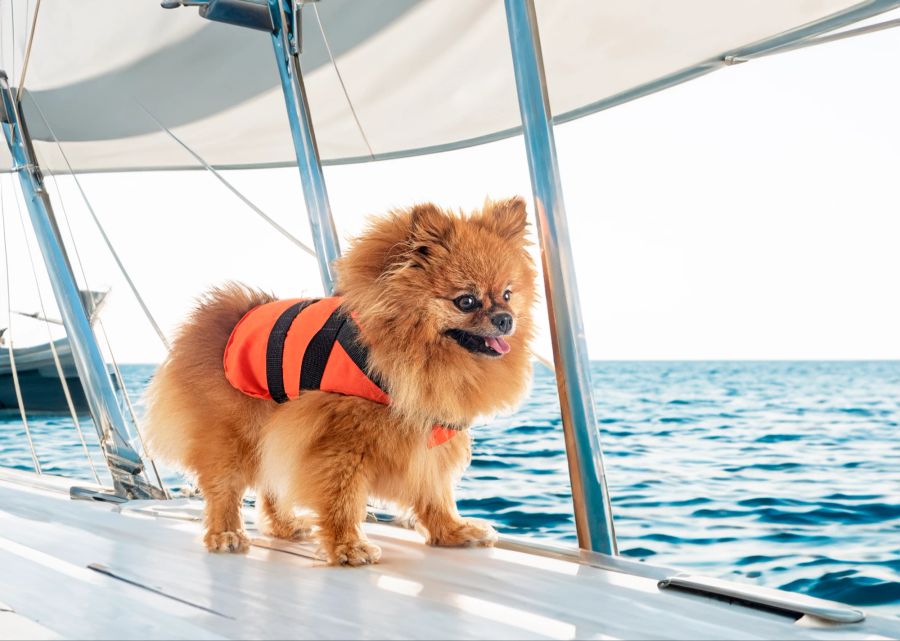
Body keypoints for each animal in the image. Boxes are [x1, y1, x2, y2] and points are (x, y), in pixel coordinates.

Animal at [142, 198, 536, 564]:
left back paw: (284, 526)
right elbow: (341, 497)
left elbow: (434, 489)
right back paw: (225, 533)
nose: (505, 319)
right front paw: (348, 546)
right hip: (233, 435)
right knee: (223, 487)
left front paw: (452, 531)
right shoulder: (338, 438)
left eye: (507, 294)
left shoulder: (425, 436)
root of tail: (218, 318)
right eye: (466, 301)